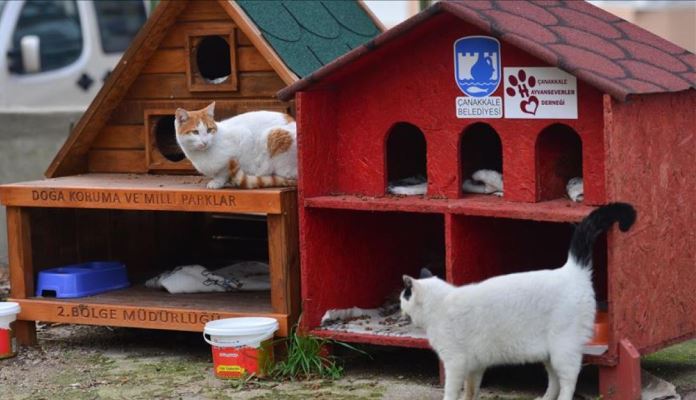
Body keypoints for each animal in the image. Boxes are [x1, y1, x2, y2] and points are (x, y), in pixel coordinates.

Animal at [402, 203, 636, 400]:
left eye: (404, 297)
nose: (401, 310)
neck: (439, 305)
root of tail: (572, 270)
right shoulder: (475, 367)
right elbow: (471, 391)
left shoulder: (455, 363)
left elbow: (451, 391)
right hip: (549, 355)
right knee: (554, 381)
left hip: (562, 351)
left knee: (568, 381)